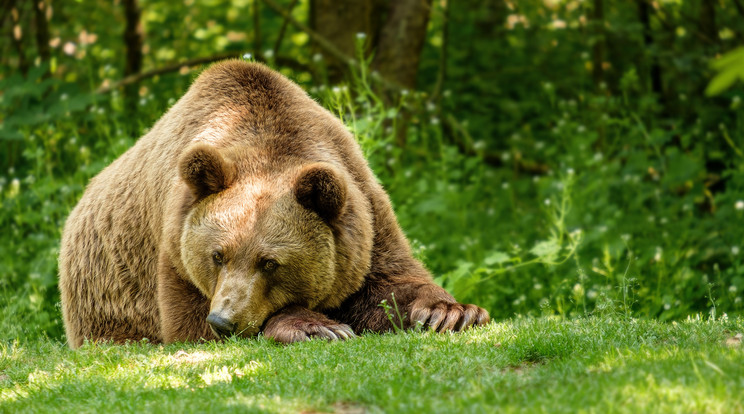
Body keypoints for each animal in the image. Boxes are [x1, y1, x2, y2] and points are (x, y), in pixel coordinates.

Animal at [56, 59, 488, 348]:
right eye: (217, 255)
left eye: (270, 262)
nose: (224, 320)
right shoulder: (175, 249)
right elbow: (189, 323)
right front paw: (318, 325)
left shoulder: (363, 213)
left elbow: (391, 281)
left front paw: (452, 312)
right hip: (105, 298)